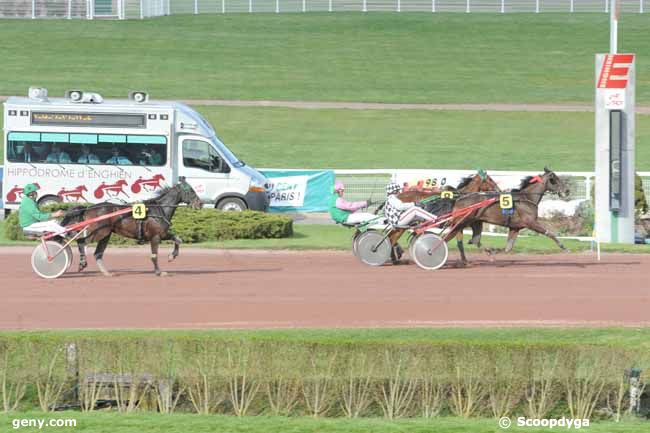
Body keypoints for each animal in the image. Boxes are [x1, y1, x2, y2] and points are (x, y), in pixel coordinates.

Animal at [62, 176, 202, 276]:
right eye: (191, 191)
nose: (200, 204)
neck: (159, 210)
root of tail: (88, 208)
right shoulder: (155, 236)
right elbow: (154, 255)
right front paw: (159, 272)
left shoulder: (162, 234)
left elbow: (178, 239)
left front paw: (171, 256)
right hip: (98, 232)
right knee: (81, 242)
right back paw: (82, 263)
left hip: (106, 235)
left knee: (98, 254)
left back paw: (107, 273)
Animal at [440, 166, 572, 253]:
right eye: (555, 179)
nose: (567, 191)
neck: (527, 198)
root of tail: (459, 199)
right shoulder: (531, 222)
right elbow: (550, 233)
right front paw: (564, 247)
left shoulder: (515, 228)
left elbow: (508, 248)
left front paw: (494, 250)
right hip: (461, 222)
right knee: (445, 238)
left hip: (474, 222)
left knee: (474, 239)